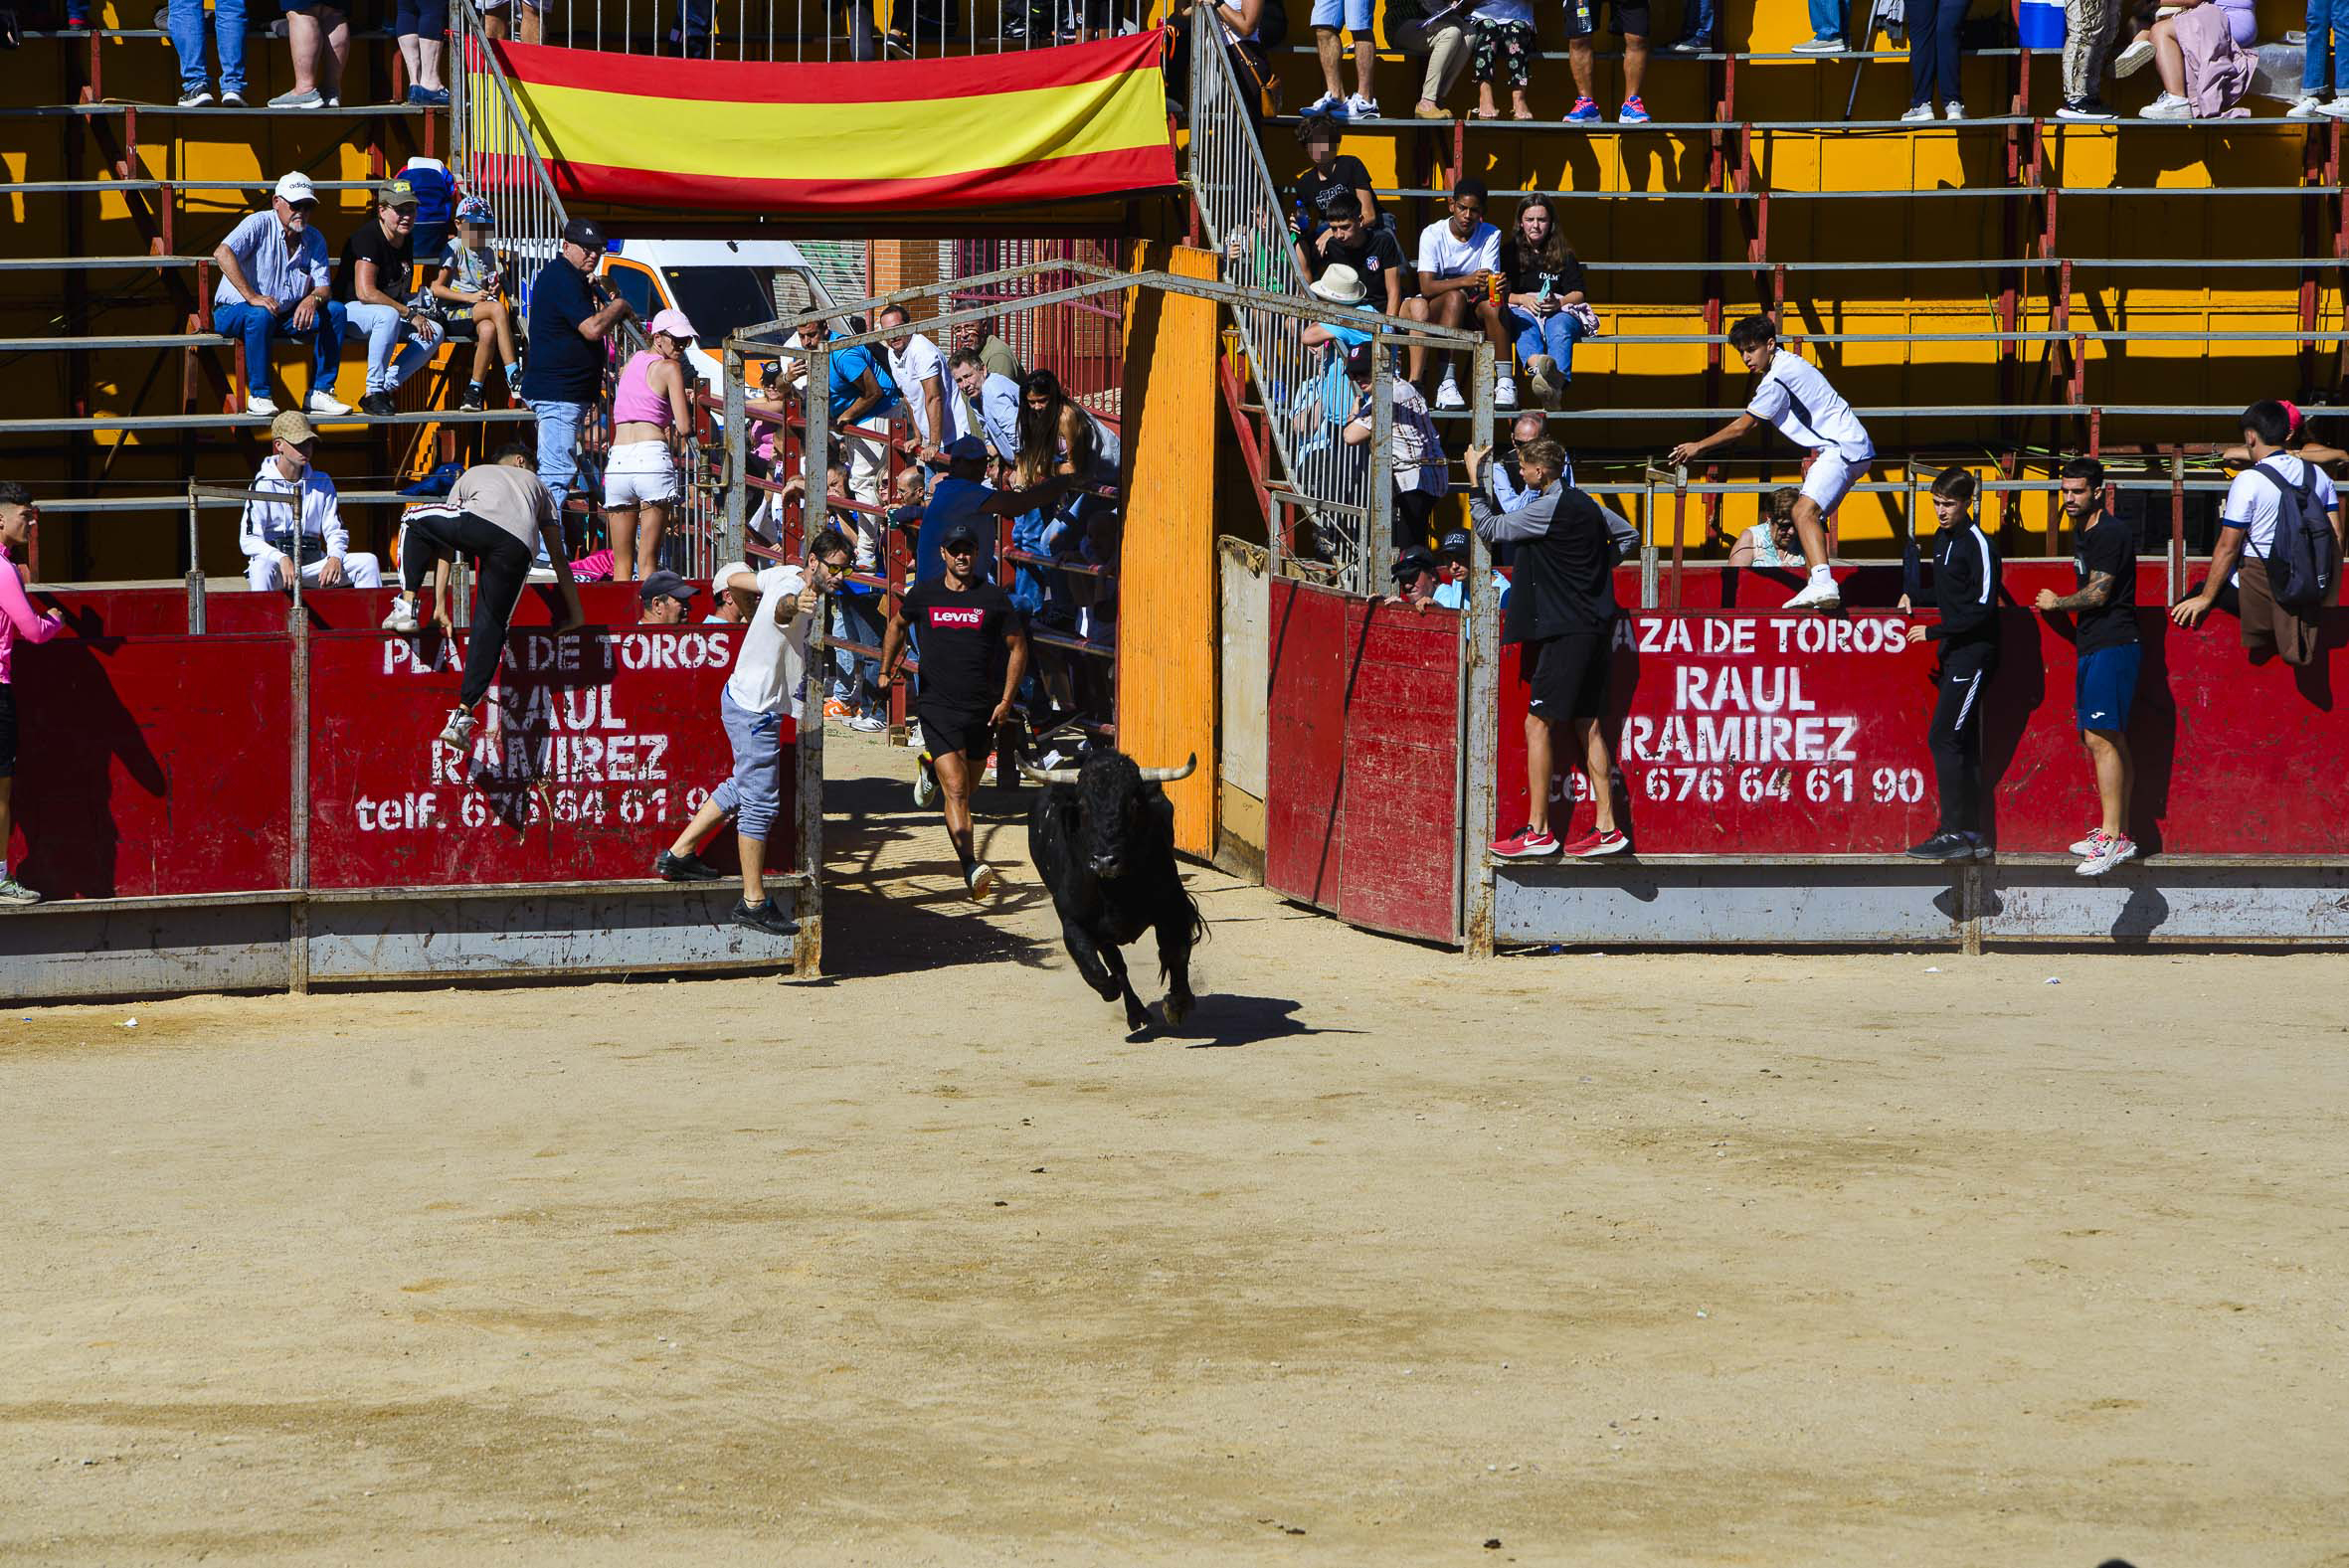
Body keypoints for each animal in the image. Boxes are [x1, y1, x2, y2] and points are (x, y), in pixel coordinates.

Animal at [1019, 746, 1202, 1028]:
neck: (1116, 891)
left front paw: (1178, 1004)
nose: (1105, 861)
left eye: (1134, 805)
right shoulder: (1072, 920)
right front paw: (1111, 990)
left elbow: (1176, 951)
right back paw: (1135, 1011)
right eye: (1083, 807)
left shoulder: (1172, 907)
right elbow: (1095, 967)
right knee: (1115, 963)